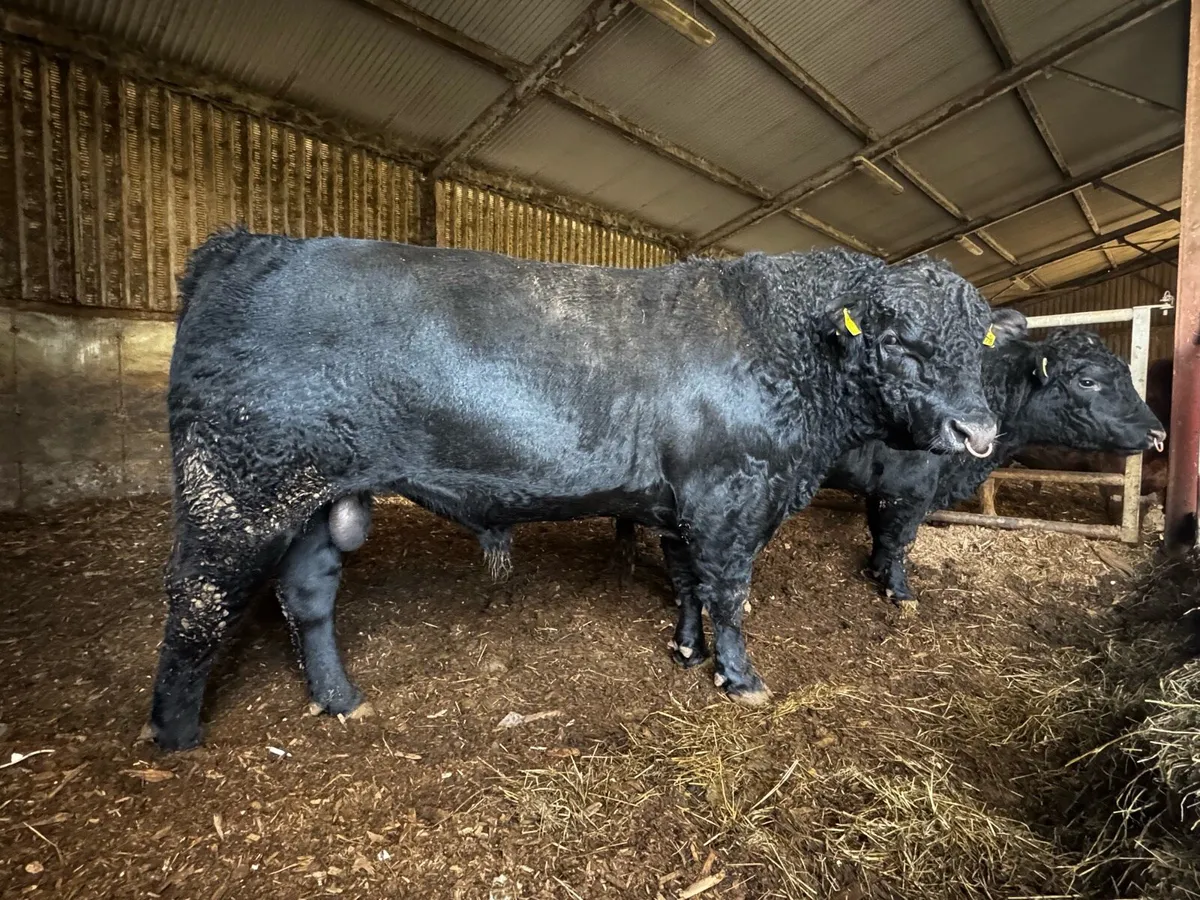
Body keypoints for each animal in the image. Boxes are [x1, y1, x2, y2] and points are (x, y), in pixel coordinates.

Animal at [146, 226, 1016, 751]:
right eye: (900, 343)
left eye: (980, 342)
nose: (977, 431)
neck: (786, 349)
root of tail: (244, 244)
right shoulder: (729, 497)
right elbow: (730, 592)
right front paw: (740, 679)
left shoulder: (679, 503)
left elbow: (686, 583)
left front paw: (684, 649)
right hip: (235, 489)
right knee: (196, 603)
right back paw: (175, 734)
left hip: (314, 503)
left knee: (308, 597)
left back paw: (338, 697)